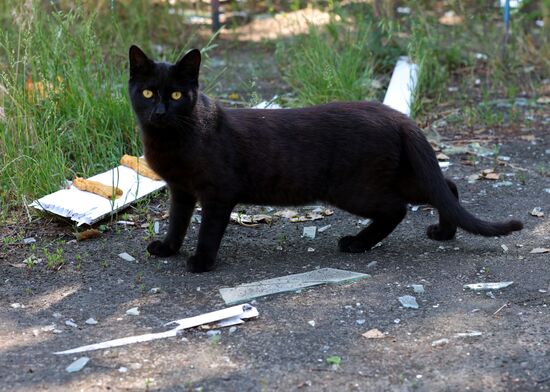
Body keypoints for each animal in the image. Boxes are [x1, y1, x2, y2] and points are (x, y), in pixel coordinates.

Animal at [127, 46, 524, 272]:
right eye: (147, 93)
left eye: (176, 95)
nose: (160, 111)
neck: (171, 139)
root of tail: (397, 116)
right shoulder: (181, 190)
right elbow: (177, 221)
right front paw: (168, 249)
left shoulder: (218, 193)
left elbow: (208, 230)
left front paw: (201, 262)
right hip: (396, 174)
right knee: (447, 187)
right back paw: (442, 233)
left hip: (354, 188)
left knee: (397, 208)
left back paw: (357, 244)